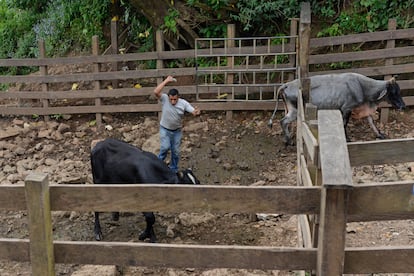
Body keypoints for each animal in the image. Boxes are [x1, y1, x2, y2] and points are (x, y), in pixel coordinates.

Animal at [270, 72, 406, 146]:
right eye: (393, 92)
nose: (403, 105)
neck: (362, 87)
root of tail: (286, 85)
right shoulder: (346, 109)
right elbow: (344, 124)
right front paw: (348, 139)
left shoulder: (363, 109)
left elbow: (372, 122)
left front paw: (380, 134)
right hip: (294, 111)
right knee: (283, 121)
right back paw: (289, 141)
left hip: (290, 110)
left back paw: (287, 139)